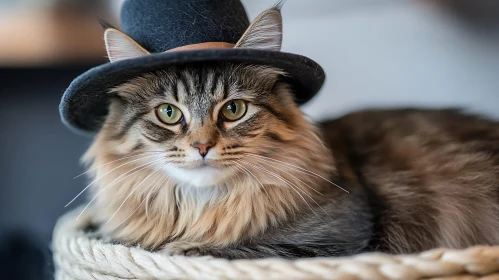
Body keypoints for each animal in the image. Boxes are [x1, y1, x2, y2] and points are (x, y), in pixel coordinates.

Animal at [82, 7, 499, 260]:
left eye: (233, 109)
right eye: (168, 113)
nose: (202, 146)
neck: (205, 207)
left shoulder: (339, 239)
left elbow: (227, 249)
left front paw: (177, 246)